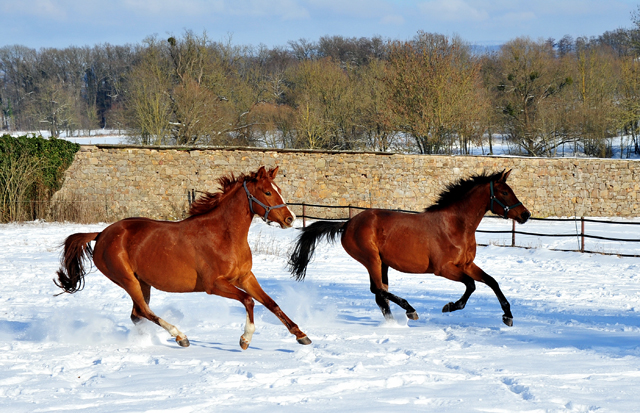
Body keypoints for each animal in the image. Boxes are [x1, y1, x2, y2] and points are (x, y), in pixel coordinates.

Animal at [56, 164, 312, 348]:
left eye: (279, 190)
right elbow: (249, 301)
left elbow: (271, 303)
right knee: (144, 311)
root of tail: (101, 234)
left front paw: (301, 335)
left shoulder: (245, 277)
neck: (223, 235)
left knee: (137, 315)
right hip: (127, 280)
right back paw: (180, 336)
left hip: (143, 282)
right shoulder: (214, 285)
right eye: (268, 192)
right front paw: (245, 339)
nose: (290, 218)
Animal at [290, 169, 528, 326]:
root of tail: (347, 224)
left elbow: (492, 281)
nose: (525, 214)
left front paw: (508, 316)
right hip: (371, 259)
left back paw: (394, 322)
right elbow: (471, 285)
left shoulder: (467, 264)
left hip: (382, 263)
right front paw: (450, 306)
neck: (455, 225)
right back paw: (410, 310)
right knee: (378, 291)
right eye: (504, 193)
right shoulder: (444, 269)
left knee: (380, 294)